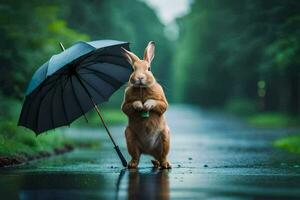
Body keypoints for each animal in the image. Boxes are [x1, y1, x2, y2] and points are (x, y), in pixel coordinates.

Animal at [120, 41, 171, 169]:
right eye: (133, 69)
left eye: (149, 68)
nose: (140, 78)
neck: (142, 89)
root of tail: (149, 151)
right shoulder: (126, 104)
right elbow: (128, 106)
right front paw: (139, 105)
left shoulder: (162, 102)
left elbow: (160, 104)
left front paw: (146, 105)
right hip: (130, 138)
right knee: (136, 156)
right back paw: (132, 165)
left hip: (165, 138)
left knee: (163, 156)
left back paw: (165, 164)